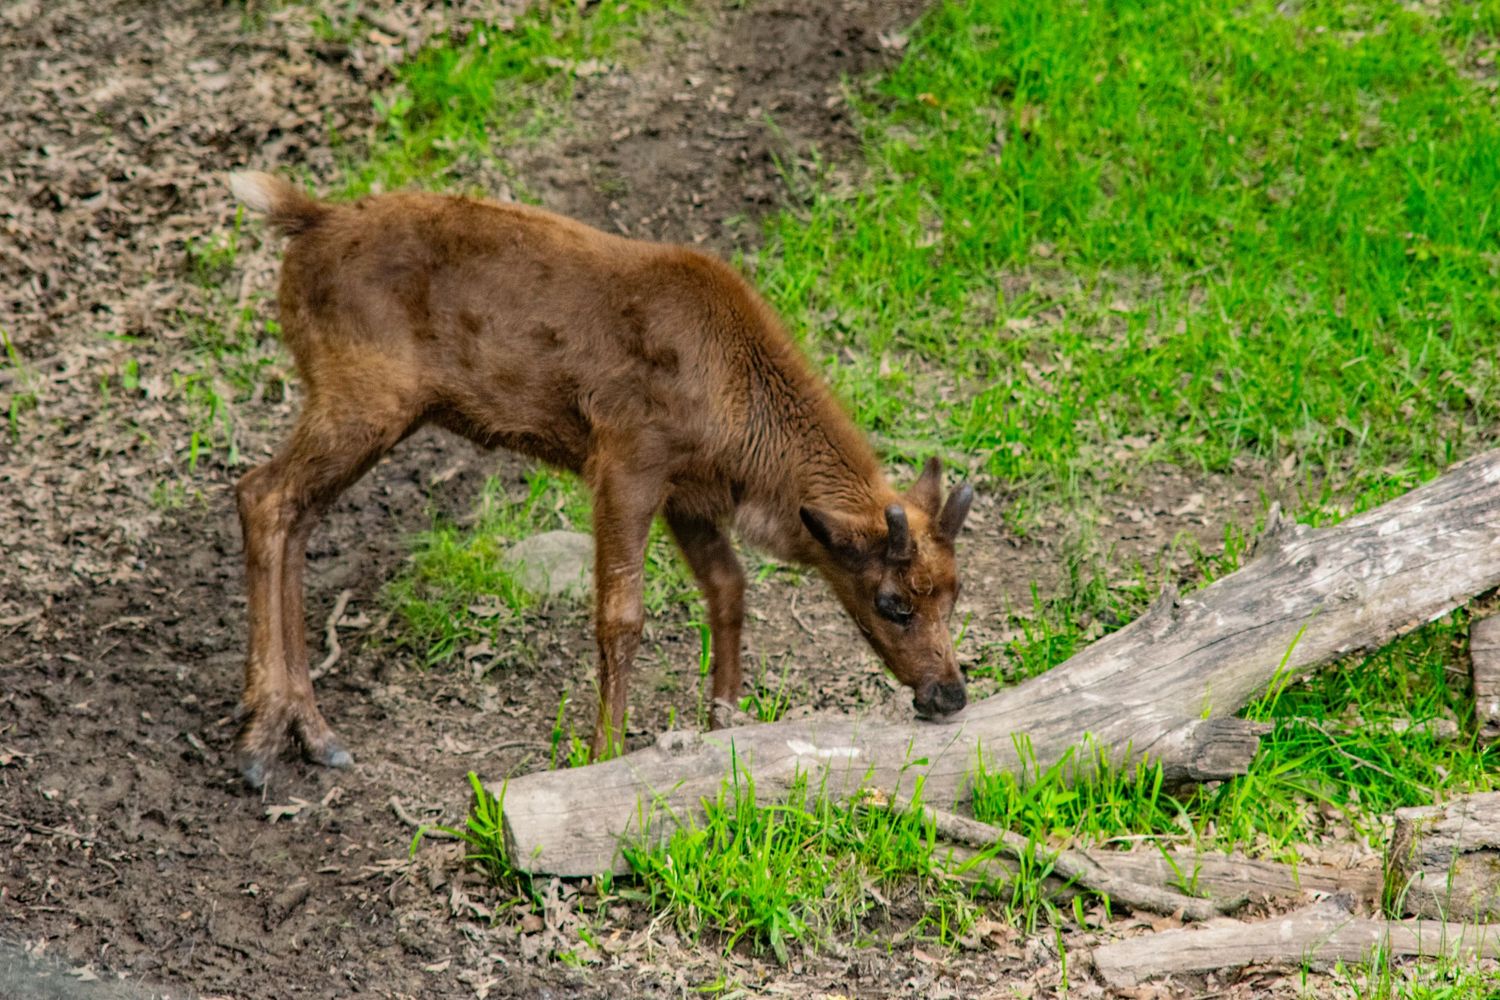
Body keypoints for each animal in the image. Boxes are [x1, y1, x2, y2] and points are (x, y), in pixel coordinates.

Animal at [225, 171, 974, 788]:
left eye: (954, 592)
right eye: (892, 602)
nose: (950, 694)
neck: (743, 429)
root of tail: (307, 220)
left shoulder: (689, 496)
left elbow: (728, 587)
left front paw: (726, 717)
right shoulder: (626, 461)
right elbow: (621, 616)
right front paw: (603, 752)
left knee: (293, 513)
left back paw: (304, 728)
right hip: (363, 399)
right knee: (262, 493)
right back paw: (265, 739)